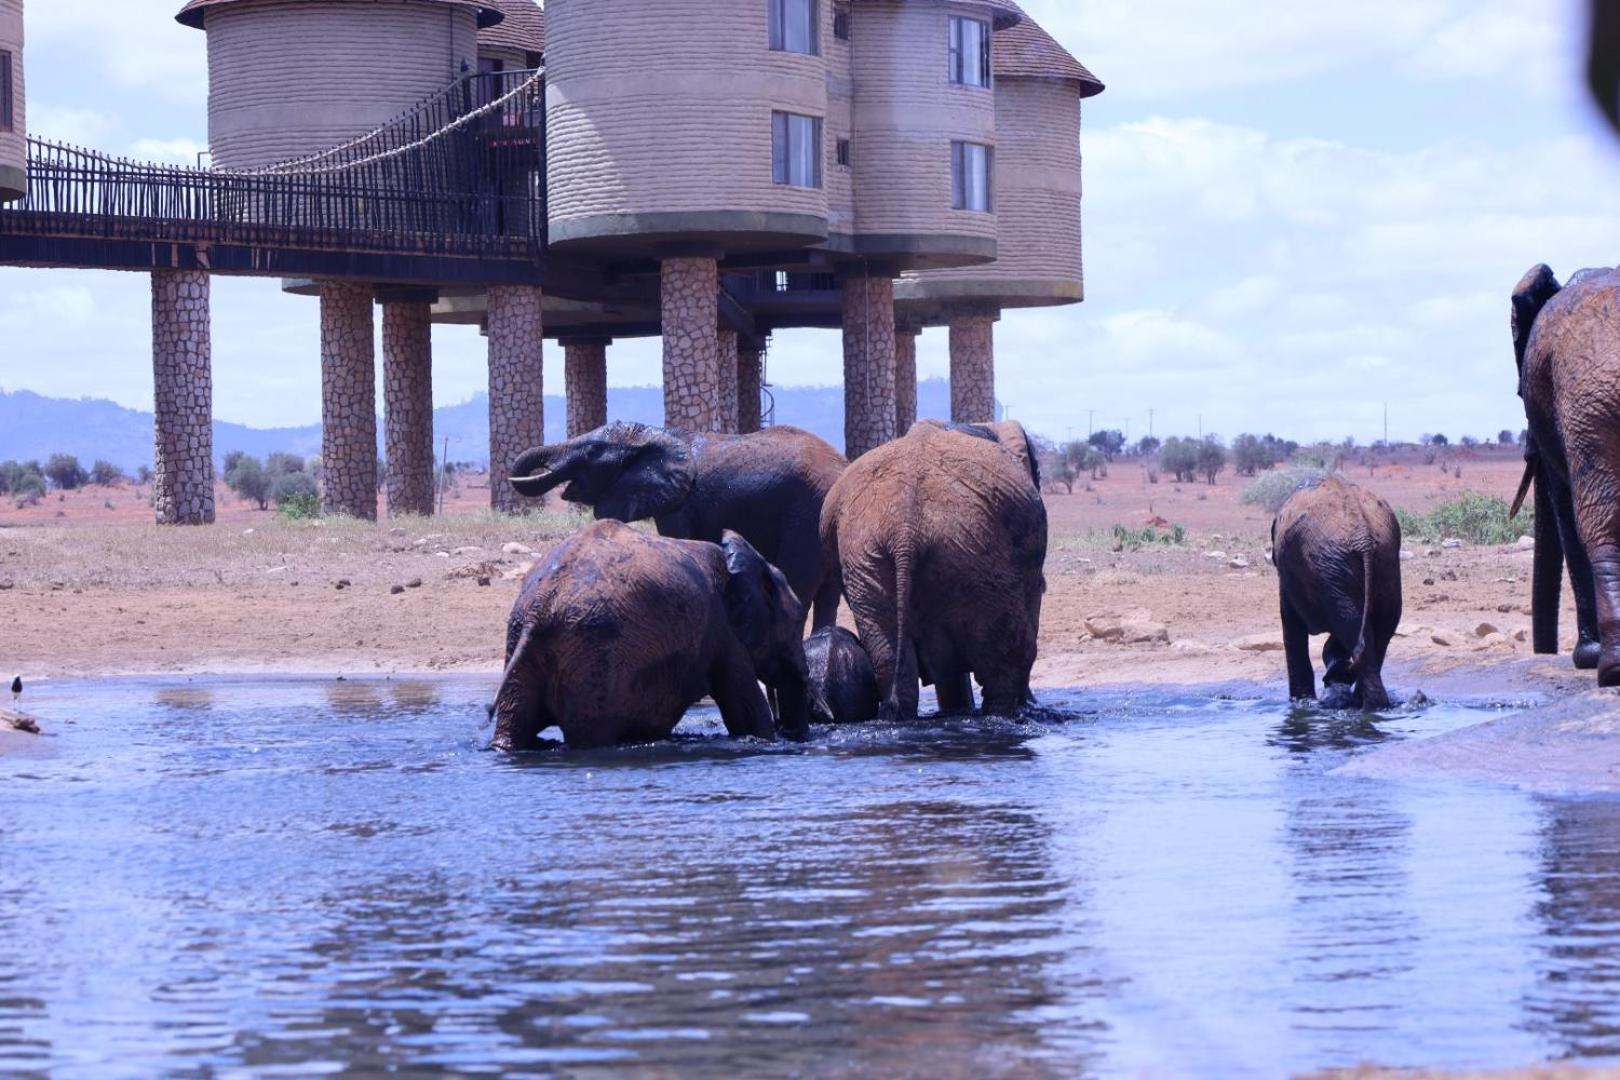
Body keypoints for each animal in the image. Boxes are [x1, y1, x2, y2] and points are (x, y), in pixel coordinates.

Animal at [482, 521, 806, 751]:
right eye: (799, 620)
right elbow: (747, 713)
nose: (794, 735)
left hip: (524, 644)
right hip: (595, 656)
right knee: (588, 735)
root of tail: (541, 607)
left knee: (513, 725)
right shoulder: (723, 632)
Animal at [511, 417, 855, 628]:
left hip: (806, 517)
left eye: (592, 451)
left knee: (800, 588)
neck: (653, 433)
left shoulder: (680, 504)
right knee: (828, 597)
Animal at [1270, 472, 1399, 709]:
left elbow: (1291, 627)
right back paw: (1369, 704)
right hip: (1383, 560)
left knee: (1352, 625)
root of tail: (1363, 535)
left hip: (1335, 564)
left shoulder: (1288, 577)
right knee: (1378, 629)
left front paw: (1301, 701)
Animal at [1503, 265, 1620, 680]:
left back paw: (1605, 665)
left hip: (1590, 407)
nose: (1544, 651)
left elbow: (1564, 506)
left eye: (1520, 394)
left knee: (1595, 522)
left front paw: (1586, 656)